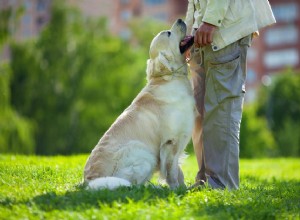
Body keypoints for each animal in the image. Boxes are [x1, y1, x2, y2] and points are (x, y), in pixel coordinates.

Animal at [84, 18, 195, 190]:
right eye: (168, 33)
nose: (180, 19)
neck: (169, 78)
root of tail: (89, 180)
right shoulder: (171, 141)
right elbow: (172, 171)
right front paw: (177, 189)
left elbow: (178, 170)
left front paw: (184, 187)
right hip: (143, 153)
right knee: (132, 186)